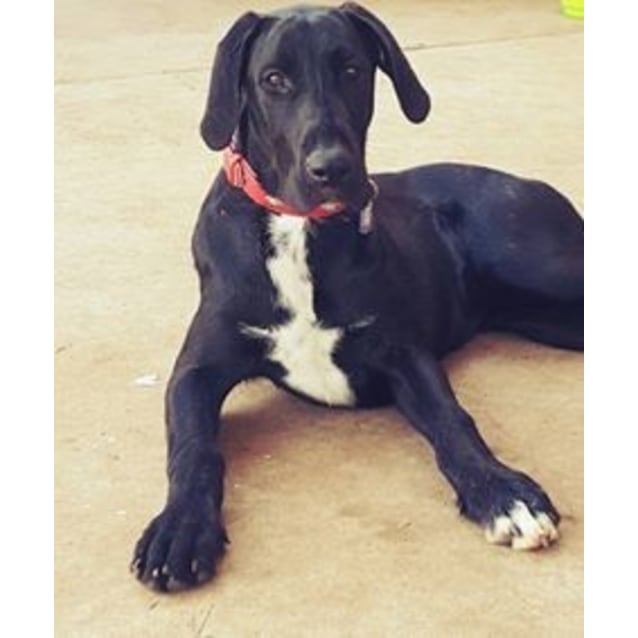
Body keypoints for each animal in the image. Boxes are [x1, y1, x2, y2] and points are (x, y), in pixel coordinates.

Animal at [132, 3, 588, 596]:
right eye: (273, 80)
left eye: (352, 70)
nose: (332, 169)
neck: (299, 232)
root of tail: (533, 183)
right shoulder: (196, 370)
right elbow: (193, 448)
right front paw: (182, 528)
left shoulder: (403, 355)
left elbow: (453, 420)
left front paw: (503, 493)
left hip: (548, 270)